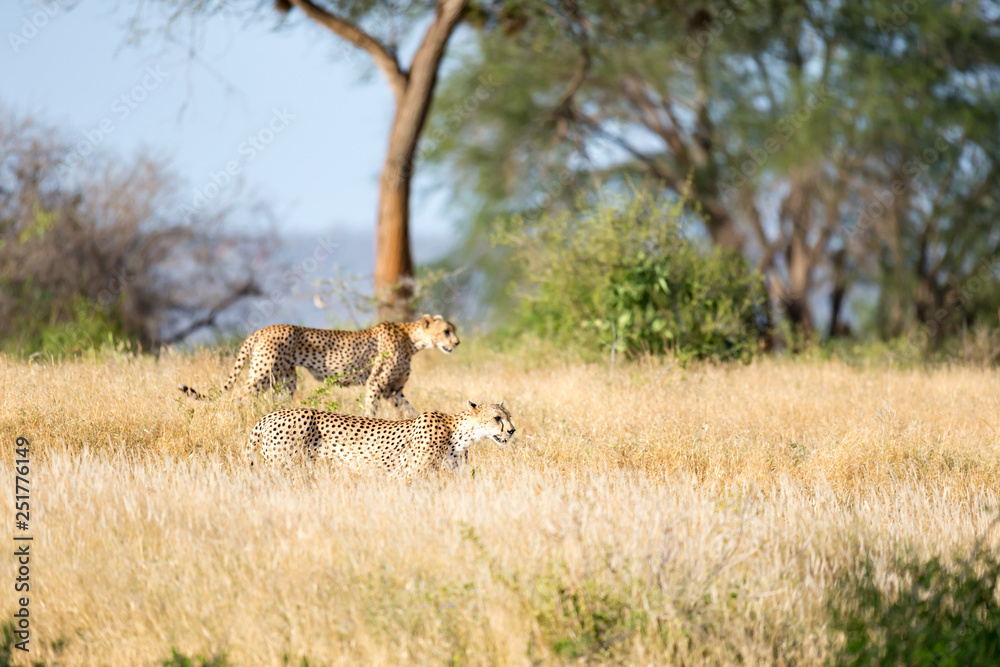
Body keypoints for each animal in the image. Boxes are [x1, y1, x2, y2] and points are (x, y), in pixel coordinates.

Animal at [178, 314, 459, 416]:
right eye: (446, 331)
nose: (457, 342)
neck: (411, 339)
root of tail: (262, 329)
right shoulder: (376, 383)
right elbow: (371, 408)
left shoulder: (394, 390)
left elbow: (410, 409)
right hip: (261, 374)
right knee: (238, 397)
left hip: (285, 380)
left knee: (276, 401)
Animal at [246, 401, 516, 479]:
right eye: (497, 418)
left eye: (509, 417)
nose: (512, 431)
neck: (459, 433)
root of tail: (270, 415)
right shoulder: (412, 476)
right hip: (283, 465)